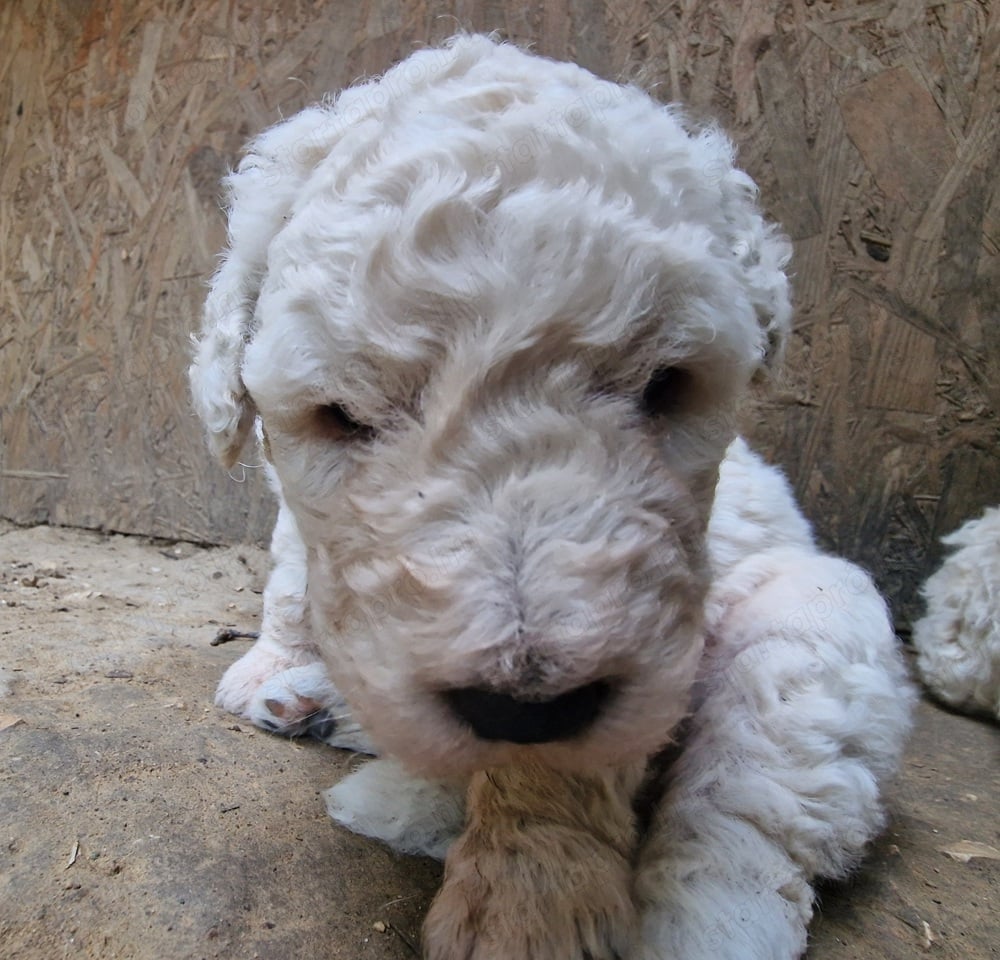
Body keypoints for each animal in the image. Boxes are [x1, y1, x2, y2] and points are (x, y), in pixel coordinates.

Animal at [188, 33, 916, 956]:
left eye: (667, 385)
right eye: (341, 414)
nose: (520, 706)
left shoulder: (633, 623)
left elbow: (558, 768)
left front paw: (524, 908)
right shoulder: (304, 512)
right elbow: (293, 572)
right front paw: (277, 667)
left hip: (813, 613)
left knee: (747, 815)